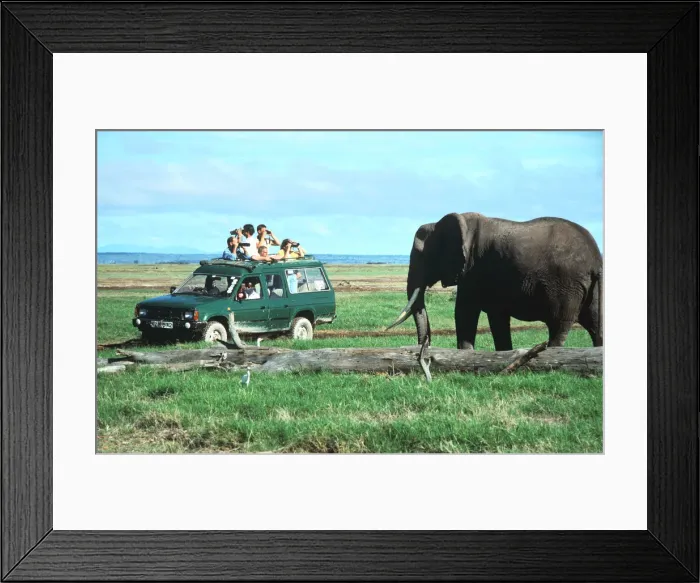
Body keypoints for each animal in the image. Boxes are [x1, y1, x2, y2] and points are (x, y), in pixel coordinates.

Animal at [387, 212, 603, 350]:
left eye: (422, 256)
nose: (426, 347)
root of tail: (595, 258)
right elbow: (495, 317)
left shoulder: (474, 269)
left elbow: (465, 311)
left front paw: (466, 353)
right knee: (596, 324)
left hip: (566, 286)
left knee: (559, 324)